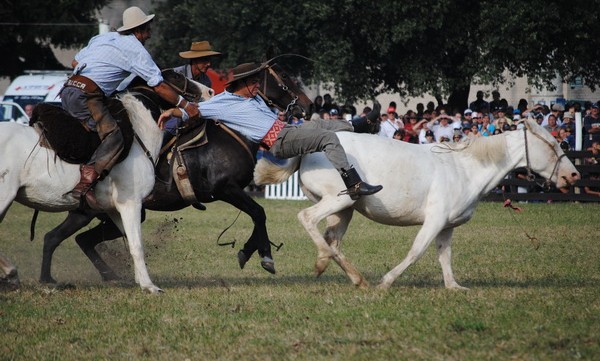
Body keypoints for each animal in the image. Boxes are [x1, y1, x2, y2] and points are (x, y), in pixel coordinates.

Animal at [0, 93, 162, 292]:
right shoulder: (131, 204)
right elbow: (136, 245)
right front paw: (149, 286)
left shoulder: (114, 210)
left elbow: (131, 239)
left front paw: (140, 279)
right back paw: (12, 273)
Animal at [254, 119, 580, 288]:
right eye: (553, 145)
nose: (573, 175)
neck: (464, 168)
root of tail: (310, 148)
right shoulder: (434, 221)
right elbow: (416, 251)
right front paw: (386, 282)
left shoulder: (447, 226)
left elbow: (444, 256)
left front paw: (454, 287)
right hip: (334, 201)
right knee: (308, 219)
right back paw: (327, 263)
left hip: (345, 209)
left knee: (332, 240)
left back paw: (354, 278)